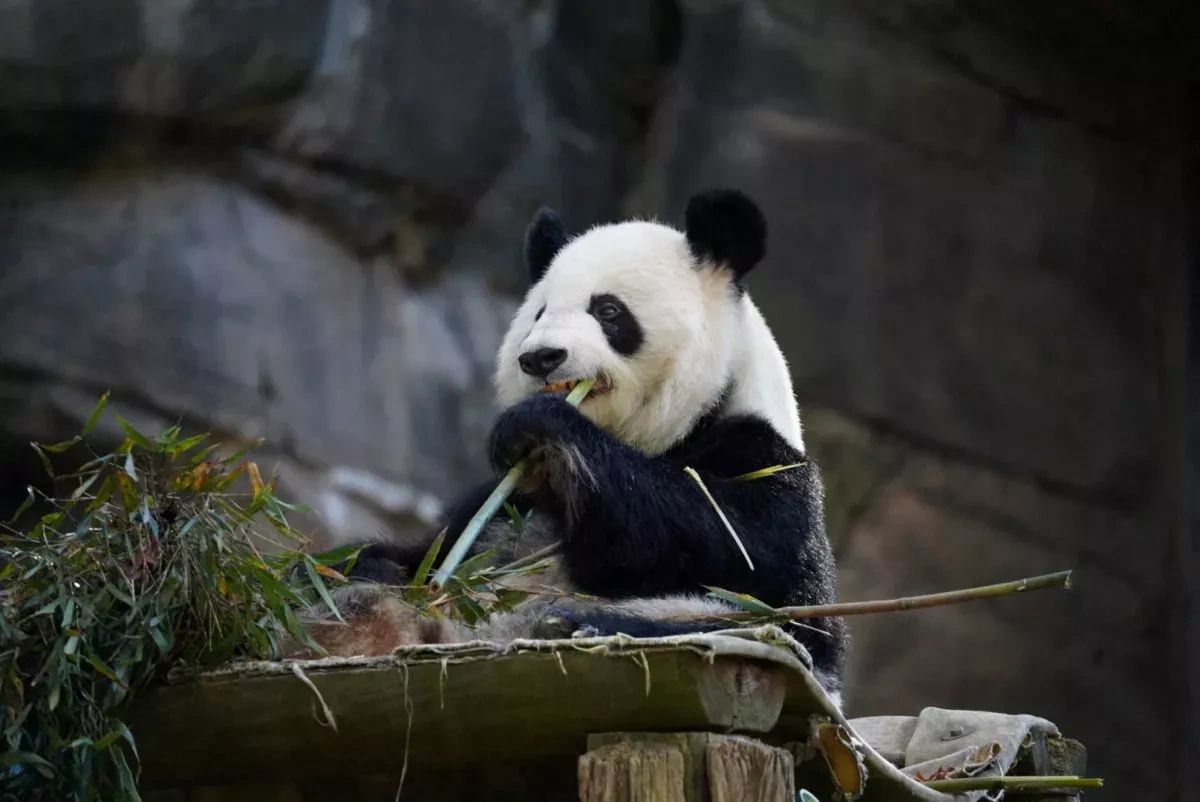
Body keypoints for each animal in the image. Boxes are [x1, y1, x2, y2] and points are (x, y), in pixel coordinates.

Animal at [290, 189, 849, 706]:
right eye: (538, 313)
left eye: (608, 310)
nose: (541, 357)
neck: (666, 433)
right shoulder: (501, 501)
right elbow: (428, 553)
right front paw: (358, 566)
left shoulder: (759, 457)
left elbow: (742, 557)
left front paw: (542, 424)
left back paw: (571, 624)